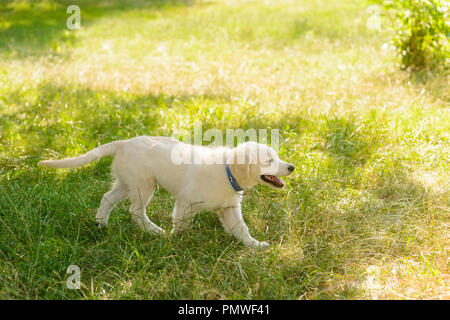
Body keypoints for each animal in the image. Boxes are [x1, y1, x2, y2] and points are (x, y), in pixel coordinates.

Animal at [39, 136, 296, 249]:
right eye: (269, 160)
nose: (292, 167)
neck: (226, 171)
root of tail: (124, 142)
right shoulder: (185, 203)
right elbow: (181, 225)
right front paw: (175, 242)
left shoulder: (229, 209)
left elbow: (241, 229)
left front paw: (255, 245)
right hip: (144, 184)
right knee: (135, 211)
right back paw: (155, 231)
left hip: (126, 182)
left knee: (107, 199)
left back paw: (101, 224)